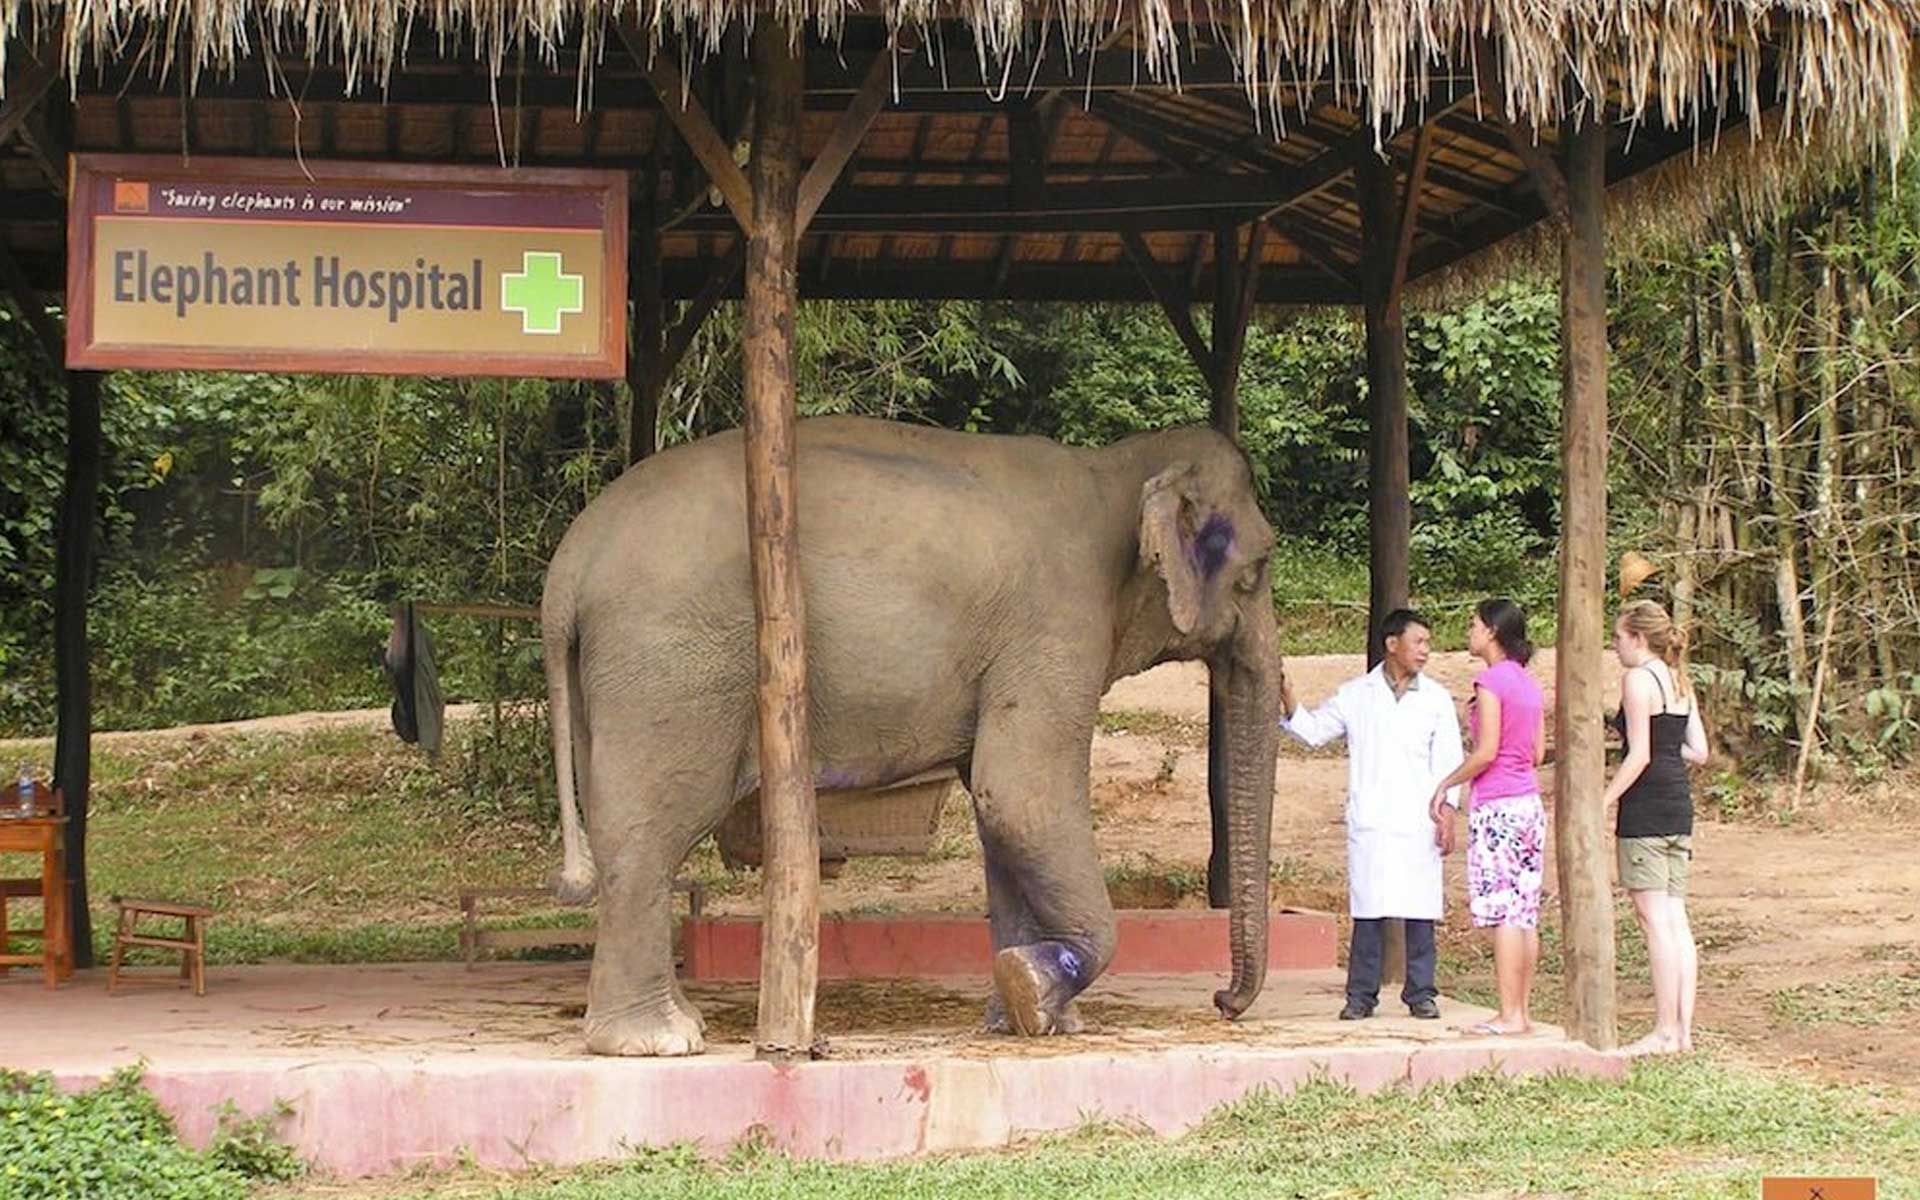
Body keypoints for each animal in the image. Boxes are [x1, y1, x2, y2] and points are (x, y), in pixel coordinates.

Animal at [545, 416, 1290, 1052]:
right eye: (1255, 571)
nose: (1223, 1002)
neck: (1116, 465)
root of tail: (567, 572)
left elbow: (999, 813)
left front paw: (1030, 1018)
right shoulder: (1055, 626)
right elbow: (1018, 797)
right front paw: (1033, 992)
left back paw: (674, 1023)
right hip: (670, 663)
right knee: (652, 829)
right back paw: (659, 1041)